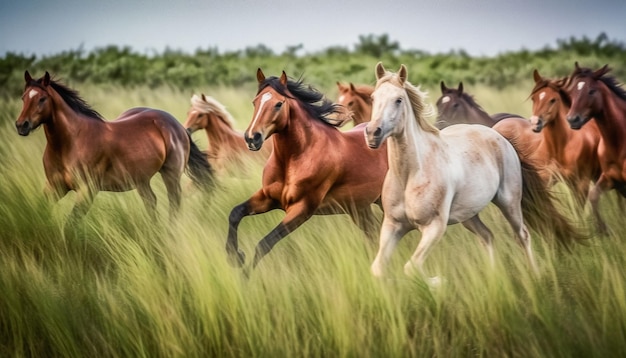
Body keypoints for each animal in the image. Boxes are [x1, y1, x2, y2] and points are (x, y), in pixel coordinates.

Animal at [15, 70, 214, 227]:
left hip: (170, 174)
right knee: (151, 202)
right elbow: (40, 212)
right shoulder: (54, 187)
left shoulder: (87, 191)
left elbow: (69, 225)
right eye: (23, 98)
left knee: (174, 204)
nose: (21, 125)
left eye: (42, 99)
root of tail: (178, 126)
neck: (69, 143)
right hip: (141, 180)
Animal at [224, 68, 388, 272]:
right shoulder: (268, 197)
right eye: (255, 102)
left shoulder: (301, 209)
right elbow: (235, 213)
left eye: (278, 104)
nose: (252, 138)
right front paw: (235, 256)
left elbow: (264, 244)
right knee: (373, 234)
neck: (294, 158)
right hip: (359, 208)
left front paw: (245, 275)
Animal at [364, 62, 584, 286]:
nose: (373, 133)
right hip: (469, 215)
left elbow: (411, 268)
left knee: (522, 235)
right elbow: (378, 269)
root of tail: (498, 135)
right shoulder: (393, 226)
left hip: (509, 203)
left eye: (398, 100)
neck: (411, 174)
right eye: (373, 98)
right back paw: (493, 278)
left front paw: (439, 281)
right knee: (487, 236)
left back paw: (535, 275)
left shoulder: (434, 227)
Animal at [524, 69, 608, 232]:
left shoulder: (581, 183)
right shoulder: (546, 178)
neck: (559, 148)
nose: (535, 123)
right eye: (533, 98)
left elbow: (578, 212)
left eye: (553, 100)